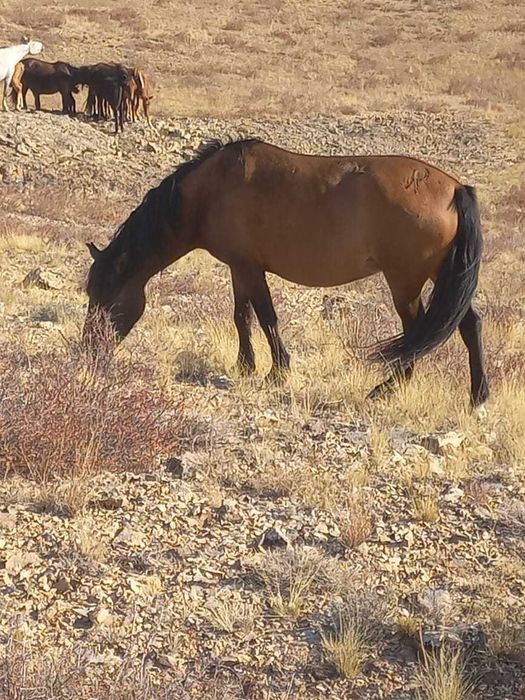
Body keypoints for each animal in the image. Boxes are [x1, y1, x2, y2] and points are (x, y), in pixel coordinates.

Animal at [83, 139, 489, 407]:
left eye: (105, 296)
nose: (89, 350)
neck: (210, 191)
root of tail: (455, 188)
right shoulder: (239, 267)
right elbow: (242, 316)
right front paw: (245, 365)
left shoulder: (249, 268)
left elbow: (266, 317)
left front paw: (278, 371)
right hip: (439, 274)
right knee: (467, 325)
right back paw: (477, 396)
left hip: (406, 281)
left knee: (417, 333)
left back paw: (385, 390)